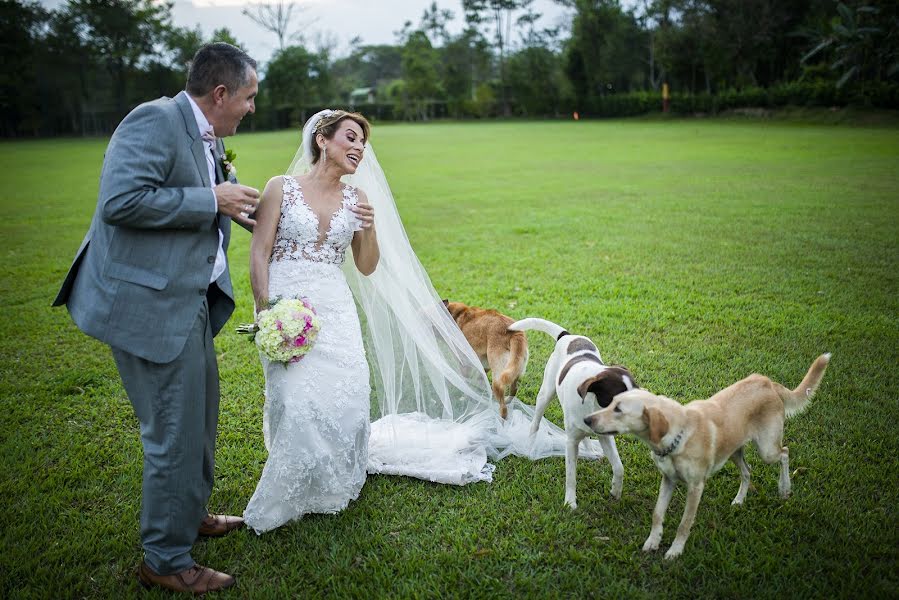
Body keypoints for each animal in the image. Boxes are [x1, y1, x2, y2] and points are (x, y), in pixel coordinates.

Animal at [506, 316, 640, 508]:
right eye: (618, 402)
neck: (592, 405)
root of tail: (567, 335)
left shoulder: (605, 436)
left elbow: (619, 467)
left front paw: (616, 490)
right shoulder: (570, 442)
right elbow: (571, 476)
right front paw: (570, 502)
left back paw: (590, 451)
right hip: (546, 394)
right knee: (536, 422)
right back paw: (531, 444)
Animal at [584, 354, 828, 560]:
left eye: (618, 409)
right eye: (610, 402)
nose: (587, 419)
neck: (678, 435)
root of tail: (766, 381)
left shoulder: (695, 487)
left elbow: (684, 523)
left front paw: (675, 551)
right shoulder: (668, 480)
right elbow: (657, 513)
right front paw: (653, 541)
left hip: (767, 449)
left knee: (785, 453)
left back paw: (784, 488)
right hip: (733, 451)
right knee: (747, 471)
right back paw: (740, 499)